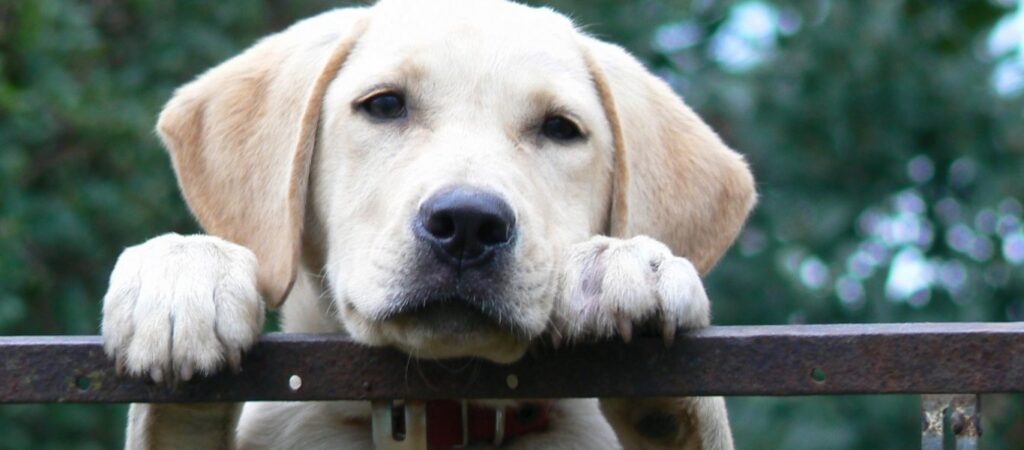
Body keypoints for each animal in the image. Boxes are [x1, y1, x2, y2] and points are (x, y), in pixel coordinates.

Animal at [101, 0, 756, 448]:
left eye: (560, 129)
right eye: (386, 105)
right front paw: (183, 275)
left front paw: (629, 264)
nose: (468, 224)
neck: (442, 417)